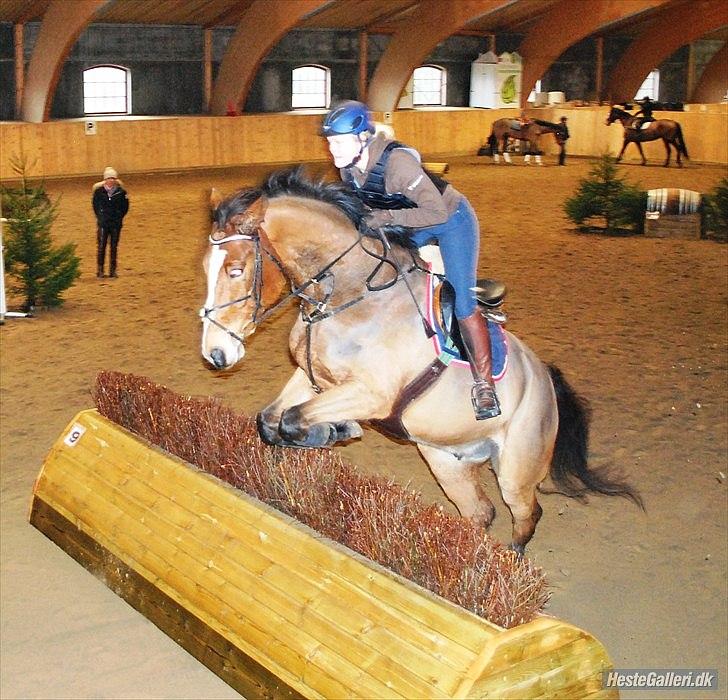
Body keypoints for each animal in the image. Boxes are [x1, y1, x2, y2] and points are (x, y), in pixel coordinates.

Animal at [200, 170, 644, 552]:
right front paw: (330, 429)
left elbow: (292, 420)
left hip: (516, 469)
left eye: (236, 270)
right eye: (205, 267)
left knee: (525, 516)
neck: (349, 293)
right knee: (480, 513)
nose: (216, 354)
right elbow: (270, 421)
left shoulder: (371, 395)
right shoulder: (313, 378)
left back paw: (507, 567)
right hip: (445, 457)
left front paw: (337, 430)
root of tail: (545, 379)